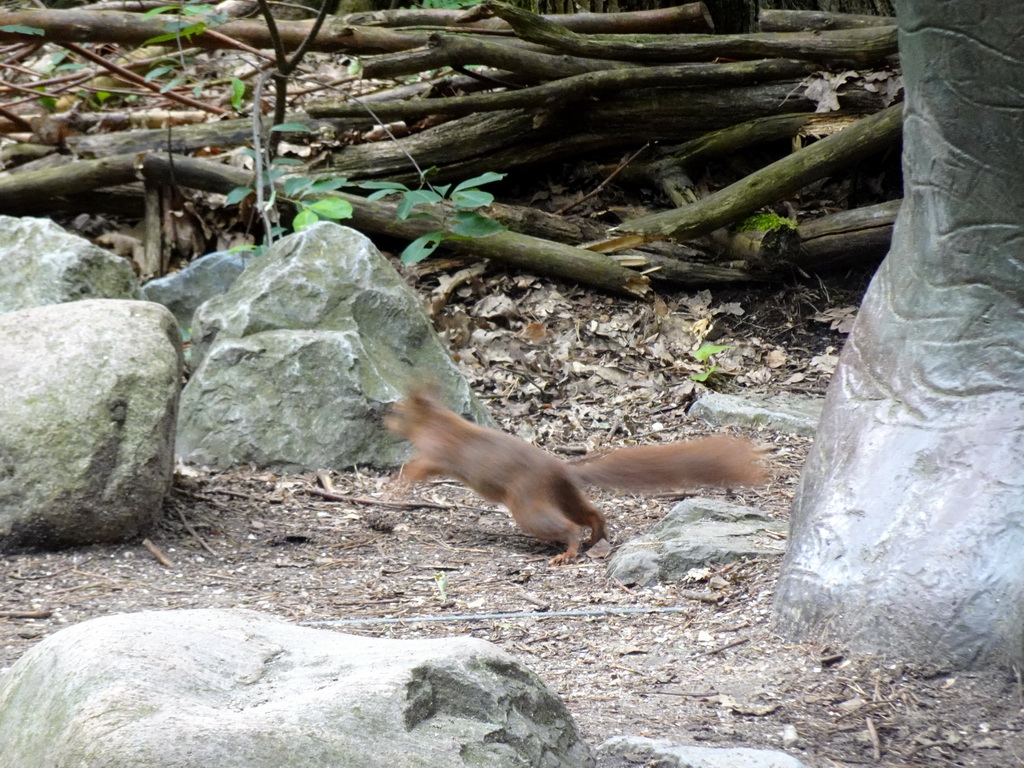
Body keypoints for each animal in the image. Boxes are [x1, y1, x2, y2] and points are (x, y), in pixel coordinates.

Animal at [387, 385, 765, 565]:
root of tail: (560, 469)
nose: (382, 417)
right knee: (592, 514)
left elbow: (422, 466)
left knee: (567, 526)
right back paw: (595, 537)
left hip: (529, 506)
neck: (436, 421)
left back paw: (567, 552)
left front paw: (400, 484)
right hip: (563, 496)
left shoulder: (440, 452)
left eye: (399, 411)